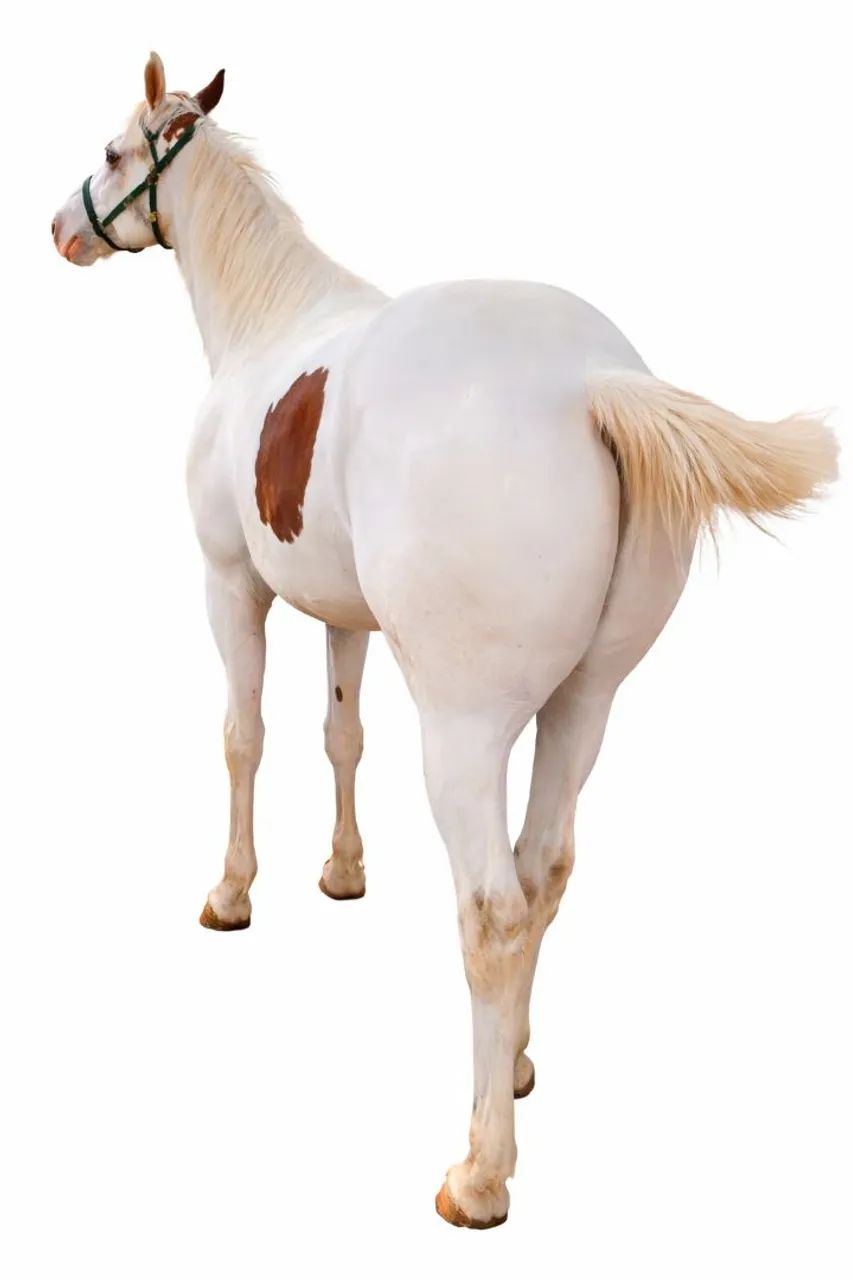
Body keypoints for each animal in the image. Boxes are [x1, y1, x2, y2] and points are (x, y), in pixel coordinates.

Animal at [51, 52, 837, 1229]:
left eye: (111, 152)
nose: (59, 227)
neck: (269, 326)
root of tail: (588, 385)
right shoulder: (347, 619)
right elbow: (341, 738)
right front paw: (340, 872)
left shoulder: (231, 588)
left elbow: (244, 737)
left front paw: (233, 895)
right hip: (580, 709)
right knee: (544, 871)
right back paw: (507, 1068)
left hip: (465, 733)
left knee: (493, 909)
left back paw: (478, 1170)